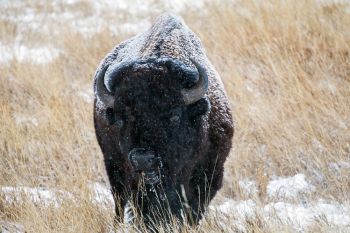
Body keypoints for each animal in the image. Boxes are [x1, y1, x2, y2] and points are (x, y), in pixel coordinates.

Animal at [94, 12, 234, 228]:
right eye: (121, 118)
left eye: (175, 115)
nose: (143, 159)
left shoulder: (209, 176)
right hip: (113, 166)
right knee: (119, 201)